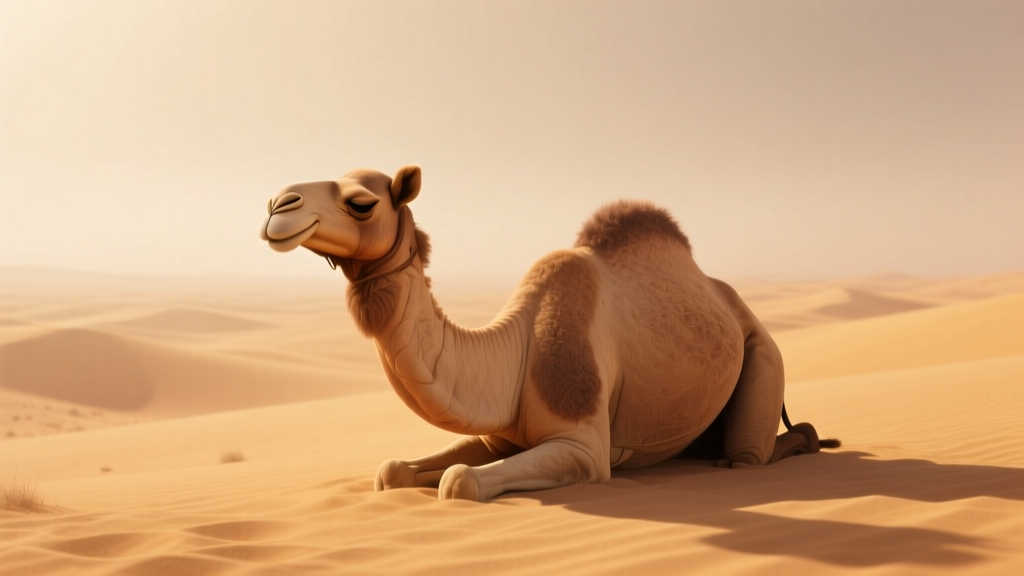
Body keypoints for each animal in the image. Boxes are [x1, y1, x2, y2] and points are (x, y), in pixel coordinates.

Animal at [259, 166, 838, 501]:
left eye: (362, 202)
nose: (277, 205)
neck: (516, 347)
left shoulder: (584, 447)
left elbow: (460, 480)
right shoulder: (497, 432)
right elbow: (392, 471)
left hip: (764, 352)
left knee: (750, 453)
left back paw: (802, 441)